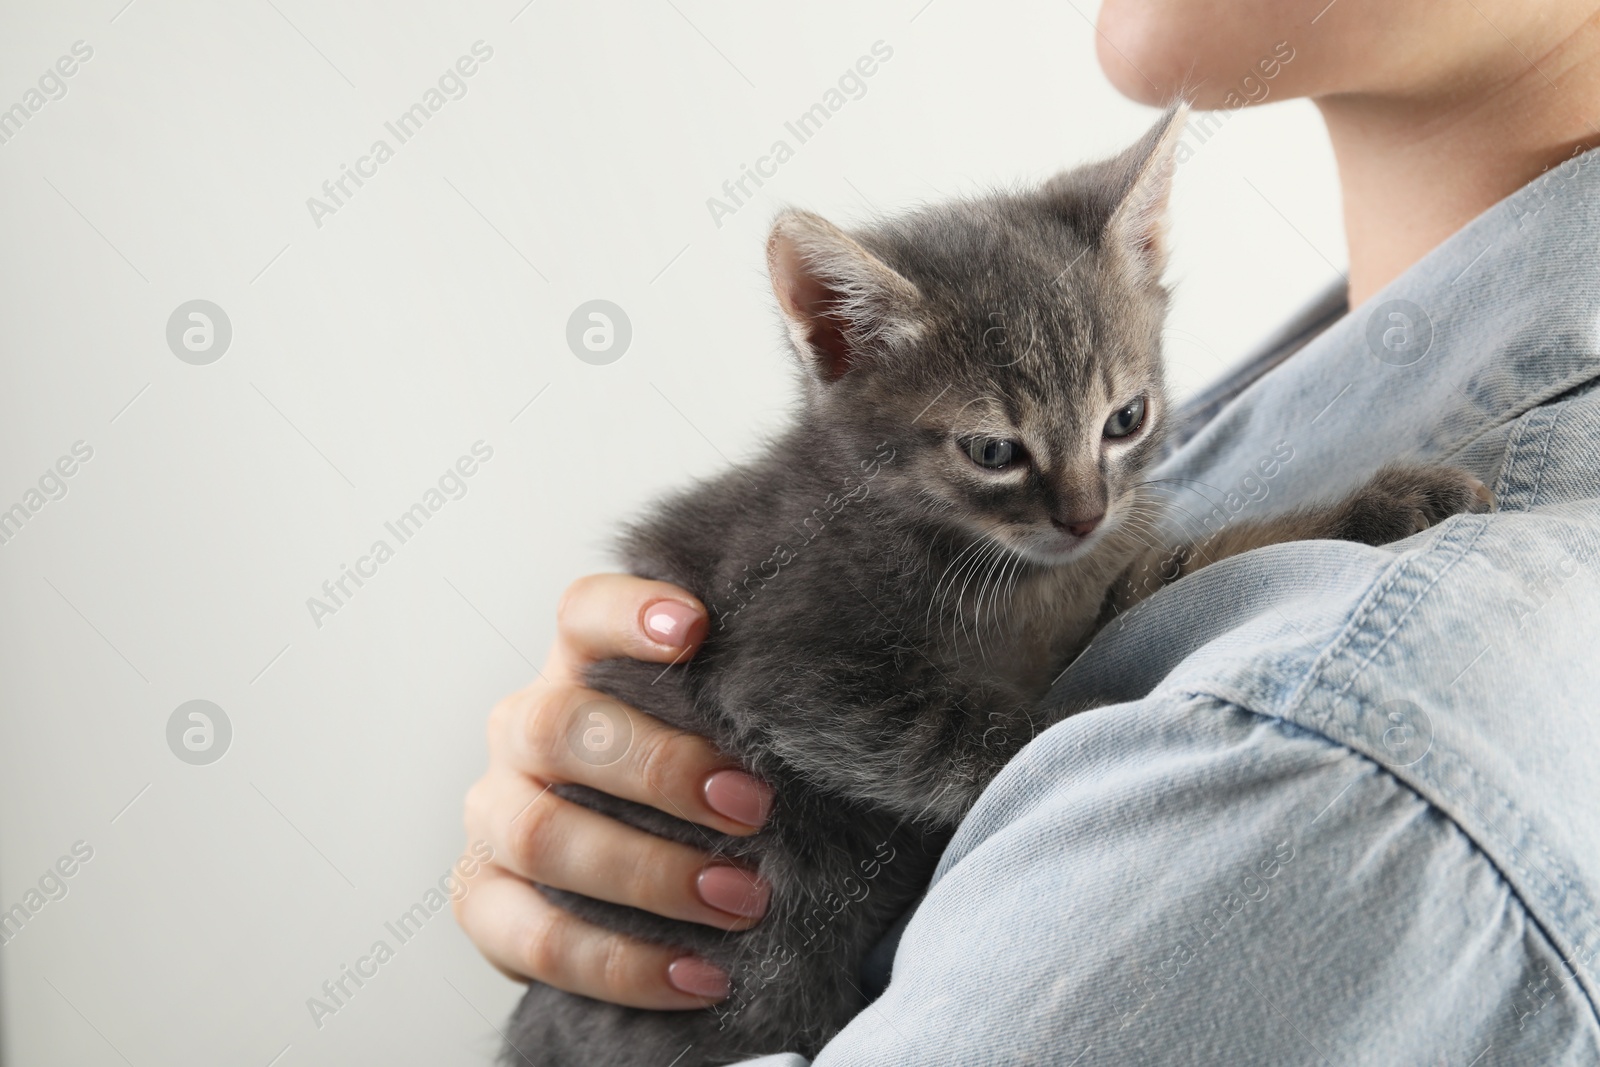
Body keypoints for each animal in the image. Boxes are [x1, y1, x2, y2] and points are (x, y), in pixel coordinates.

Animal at [505, 108, 1491, 1067]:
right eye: (992, 450)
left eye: (1125, 418)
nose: (1085, 514)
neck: (987, 559)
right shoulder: (789, 659)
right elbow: (981, 730)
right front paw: (1098, 720)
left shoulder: (1091, 588)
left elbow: (1186, 564)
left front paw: (1379, 504)